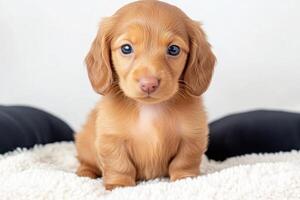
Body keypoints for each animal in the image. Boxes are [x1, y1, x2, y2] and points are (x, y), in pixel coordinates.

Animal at [75, 0, 216, 190]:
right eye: (126, 48)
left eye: (173, 49)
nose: (149, 83)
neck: (150, 108)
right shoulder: (111, 138)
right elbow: (119, 164)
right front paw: (119, 186)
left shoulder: (193, 136)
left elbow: (184, 160)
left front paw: (185, 179)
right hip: (84, 144)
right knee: (86, 162)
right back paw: (84, 173)